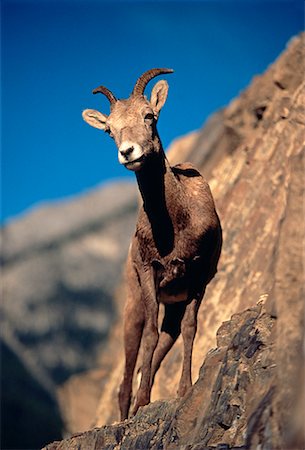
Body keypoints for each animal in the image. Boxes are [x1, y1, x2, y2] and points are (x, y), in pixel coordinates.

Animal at [82, 68, 221, 420]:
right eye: (109, 130)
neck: (174, 224)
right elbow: (149, 336)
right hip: (134, 307)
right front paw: (144, 401)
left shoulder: (197, 276)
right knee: (132, 360)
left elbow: (190, 328)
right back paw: (127, 413)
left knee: (164, 344)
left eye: (149, 116)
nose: (128, 152)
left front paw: (184, 391)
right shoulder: (149, 273)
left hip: (172, 304)